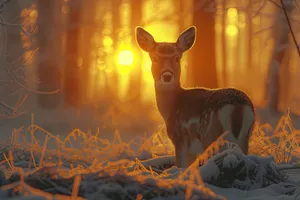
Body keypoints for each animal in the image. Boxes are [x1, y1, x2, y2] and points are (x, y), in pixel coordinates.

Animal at [136, 25, 255, 168]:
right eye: (154, 58)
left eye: (177, 58)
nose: (167, 75)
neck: (171, 106)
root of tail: (236, 107)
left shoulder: (179, 138)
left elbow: (181, 166)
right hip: (245, 137)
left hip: (210, 136)